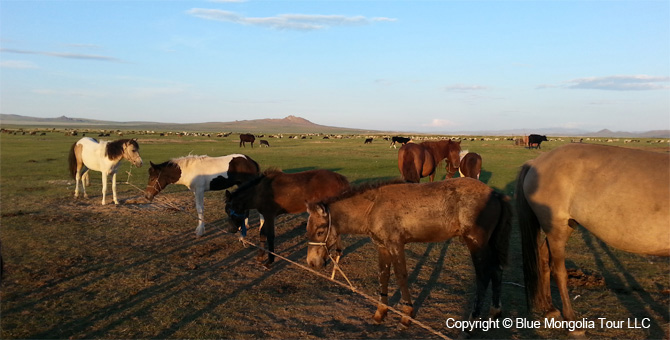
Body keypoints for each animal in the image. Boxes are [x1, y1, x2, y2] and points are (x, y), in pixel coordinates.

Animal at [308, 179, 512, 330]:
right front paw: (380, 313)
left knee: (484, 276)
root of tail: (495, 194)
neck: (373, 207)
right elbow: (383, 276)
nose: (311, 262)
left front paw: (406, 316)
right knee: (497, 270)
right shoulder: (382, 247)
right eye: (308, 230)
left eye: (320, 231)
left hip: (476, 244)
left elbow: (401, 276)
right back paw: (495, 312)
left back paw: (473, 320)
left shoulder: (395, 245)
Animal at [520, 142, 670, 336]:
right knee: (558, 271)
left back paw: (550, 309)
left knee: (544, 257)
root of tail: (536, 161)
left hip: (566, 226)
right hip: (555, 227)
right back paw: (572, 321)